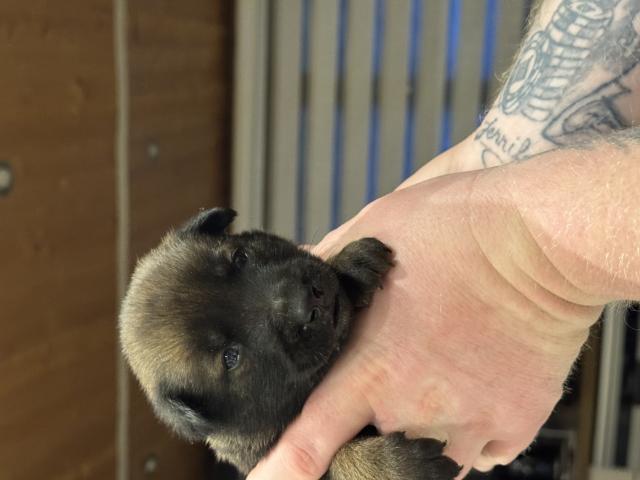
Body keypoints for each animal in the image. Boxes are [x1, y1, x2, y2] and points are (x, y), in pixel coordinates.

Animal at [120, 207, 460, 480]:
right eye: (231, 357)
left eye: (240, 257)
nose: (307, 301)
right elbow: (336, 457)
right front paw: (392, 466)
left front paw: (348, 264)